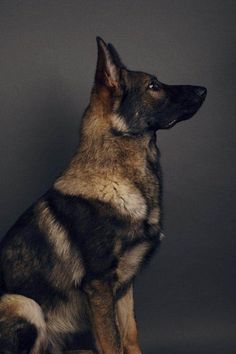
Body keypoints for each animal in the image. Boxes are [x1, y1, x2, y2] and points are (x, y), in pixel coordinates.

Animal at [0, 37, 206, 352]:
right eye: (153, 85)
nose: (203, 90)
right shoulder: (99, 285)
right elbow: (111, 342)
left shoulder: (123, 285)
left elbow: (129, 335)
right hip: (25, 304)